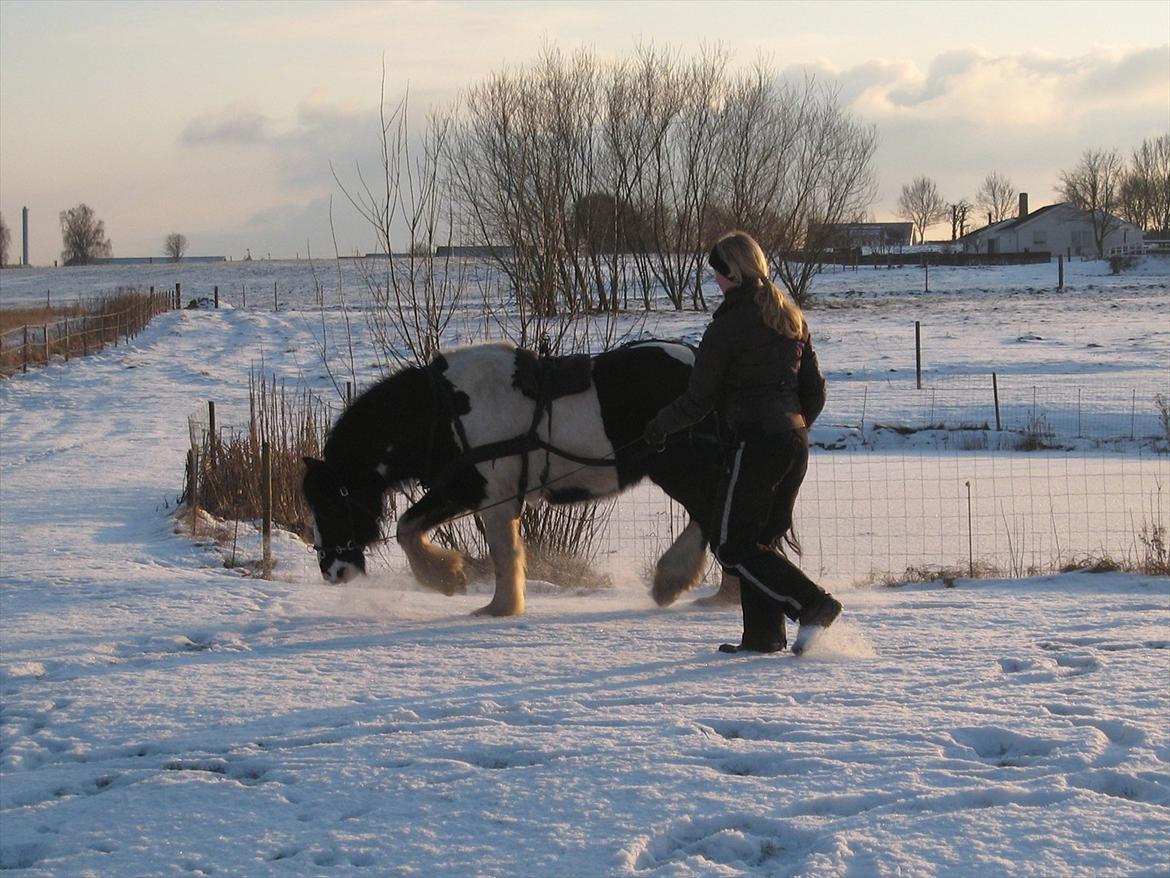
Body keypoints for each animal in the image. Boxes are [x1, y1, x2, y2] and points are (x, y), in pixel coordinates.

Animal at [304, 339, 730, 613]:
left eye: (332, 502)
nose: (331, 572)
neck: (446, 413)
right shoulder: (469, 491)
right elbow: (412, 528)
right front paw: (458, 581)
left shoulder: (487, 494)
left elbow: (497, 552)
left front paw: (485, 600)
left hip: (681, 469)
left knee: (714, 515)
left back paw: (682, 583)